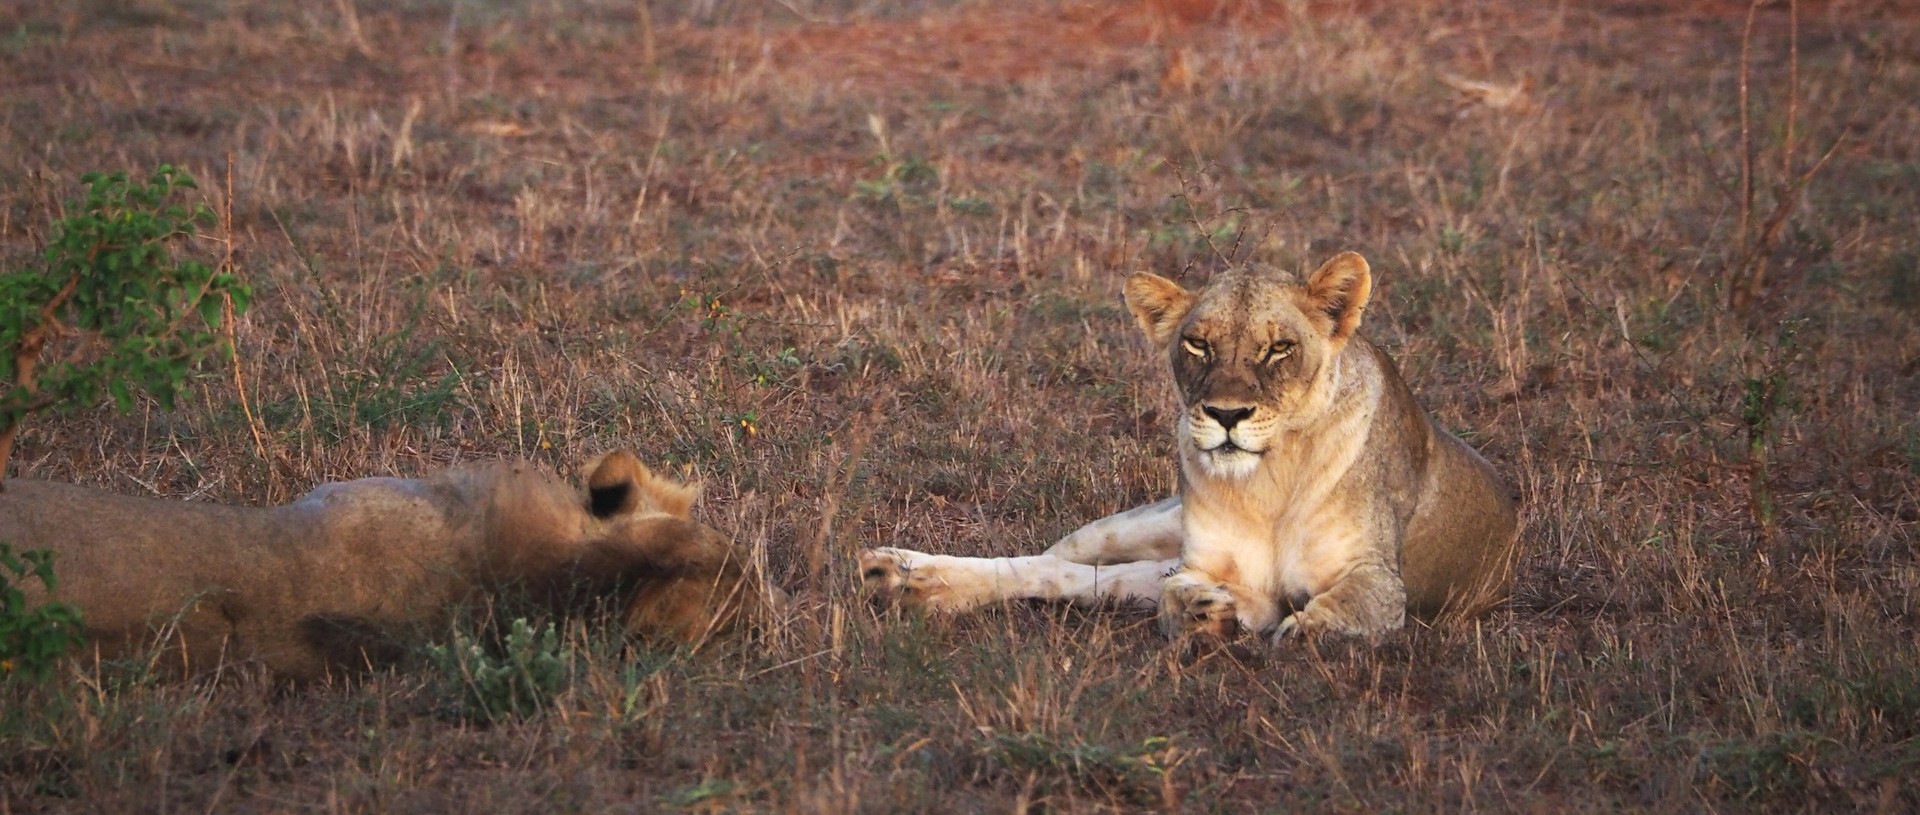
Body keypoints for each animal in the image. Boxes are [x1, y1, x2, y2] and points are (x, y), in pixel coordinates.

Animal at [861, 252, 1519, 641]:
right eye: (1198, 344)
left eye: (1279, 349)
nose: (1226, 415)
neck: (1270, 481)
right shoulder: (1227, 577)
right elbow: (1177, 599)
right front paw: (1202, 612)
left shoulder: (1379, 579)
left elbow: (1348, 611)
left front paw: (1305, 631)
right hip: (1124, 530)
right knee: (1051, 561)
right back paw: (897, 574)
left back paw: (903, 583)